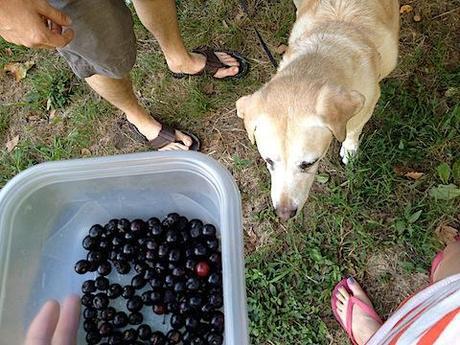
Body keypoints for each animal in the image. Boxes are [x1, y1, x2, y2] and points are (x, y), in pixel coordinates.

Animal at [237, 0, 398, 219]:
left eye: (308, 164)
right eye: (268, 161)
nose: (284, 214)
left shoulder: (369, 100)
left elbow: (353, 128)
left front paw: (349, 149)